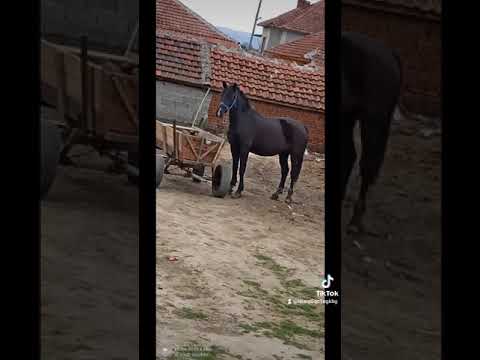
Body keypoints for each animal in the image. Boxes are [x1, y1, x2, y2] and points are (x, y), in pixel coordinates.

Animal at [340, 32, 404, 232]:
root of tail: (389, 53)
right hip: (347, 117)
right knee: (349, 157)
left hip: (374, 119)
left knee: (366, 165)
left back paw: (355, 221)